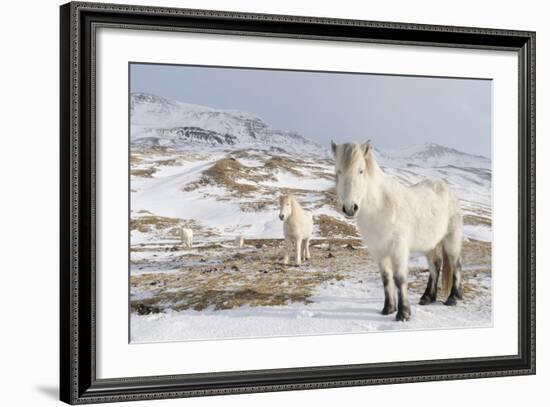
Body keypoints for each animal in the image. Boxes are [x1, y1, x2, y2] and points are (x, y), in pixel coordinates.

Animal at [332, 141, 466, 322]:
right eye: (338, 171)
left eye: (361, 170)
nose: (350, 208)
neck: (381, 207)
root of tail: (447, 189)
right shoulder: (379, 251)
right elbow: (386, 278)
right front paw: (388, 308)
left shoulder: (398, 249)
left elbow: (399, 278)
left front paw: (403, 314)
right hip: (429, 244)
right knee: (435, 265)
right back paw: (427, 297)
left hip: (451, 238)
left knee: (455, 263)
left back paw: (453, 298)